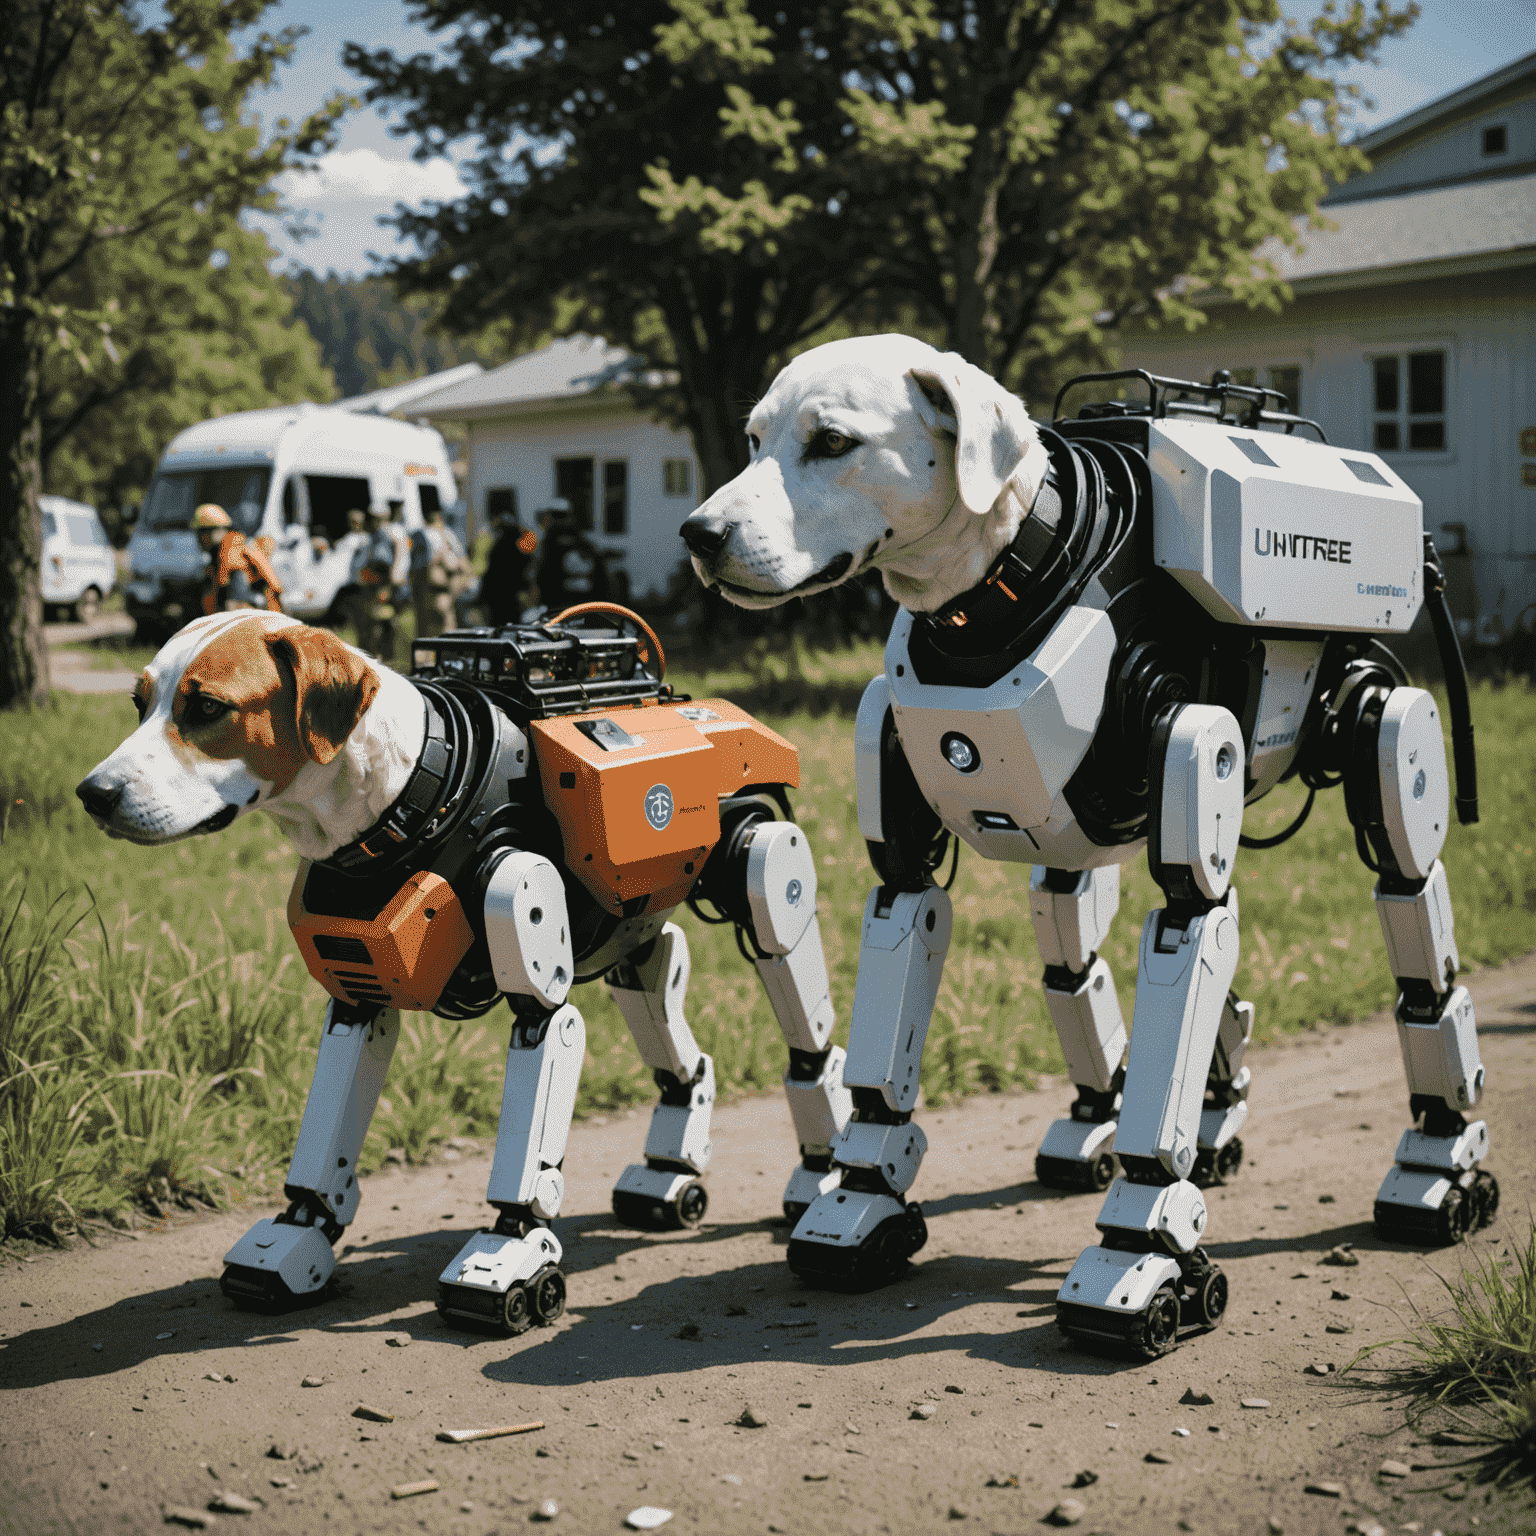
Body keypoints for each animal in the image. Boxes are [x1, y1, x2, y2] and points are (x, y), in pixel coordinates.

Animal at [77, 605, 860, 1339]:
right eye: (140, 701)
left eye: (208, 707)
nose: (93, 794)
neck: (411, 790)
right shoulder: (359, 984)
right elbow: (336, 1109)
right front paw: (295, 1235)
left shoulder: (520, 901)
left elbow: (545, 1035)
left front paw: (511, 1256)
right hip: (632, 921)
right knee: (662, 1011)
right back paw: (673, 1172)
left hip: (753, 853)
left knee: (792, 986)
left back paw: (825, 1171)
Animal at [681, 333, 1486, 1357]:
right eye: (753, 439)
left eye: (831, 442)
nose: (699, 535)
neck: (1011, 576)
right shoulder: (909, 796)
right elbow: (906, 919)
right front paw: (861, 1200)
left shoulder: (1194, 740)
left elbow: (1191, 917)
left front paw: (1141, 1256)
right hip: (1069, 833)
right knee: (1075, 939)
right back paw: (1190, 1117)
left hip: (1364, 712)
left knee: (1405, 907)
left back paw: (1440, 1166)